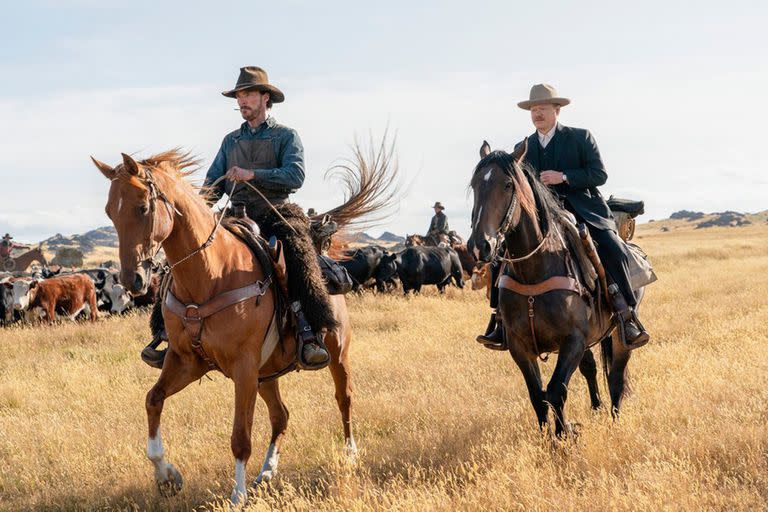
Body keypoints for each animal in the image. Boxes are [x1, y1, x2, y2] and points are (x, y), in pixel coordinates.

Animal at [94, 146, 396, 506]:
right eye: (110, 212)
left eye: (142, 207)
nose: (133, 280)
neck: (211, 273)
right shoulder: (186, 361)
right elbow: (153, 400)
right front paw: (167, 476)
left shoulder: (243, 367)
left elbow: (240, 436)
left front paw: (237, 496)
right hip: (267, 374)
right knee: (281, 415)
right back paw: (266, 472)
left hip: (336, 353)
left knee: (344, 397)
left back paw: (349, 454)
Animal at [468, 140, 640, 436]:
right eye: (475, 184)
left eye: (508, 184)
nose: (481, 246)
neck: (535, 269)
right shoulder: (519, 346)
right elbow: (537, 395)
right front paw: (546, 438)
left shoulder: (573, 340)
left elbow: (556, 391)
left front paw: (563, 436)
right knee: (591, 368)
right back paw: (596, 408)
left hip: (620, 337)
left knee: (616, 376)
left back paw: (614, 420)